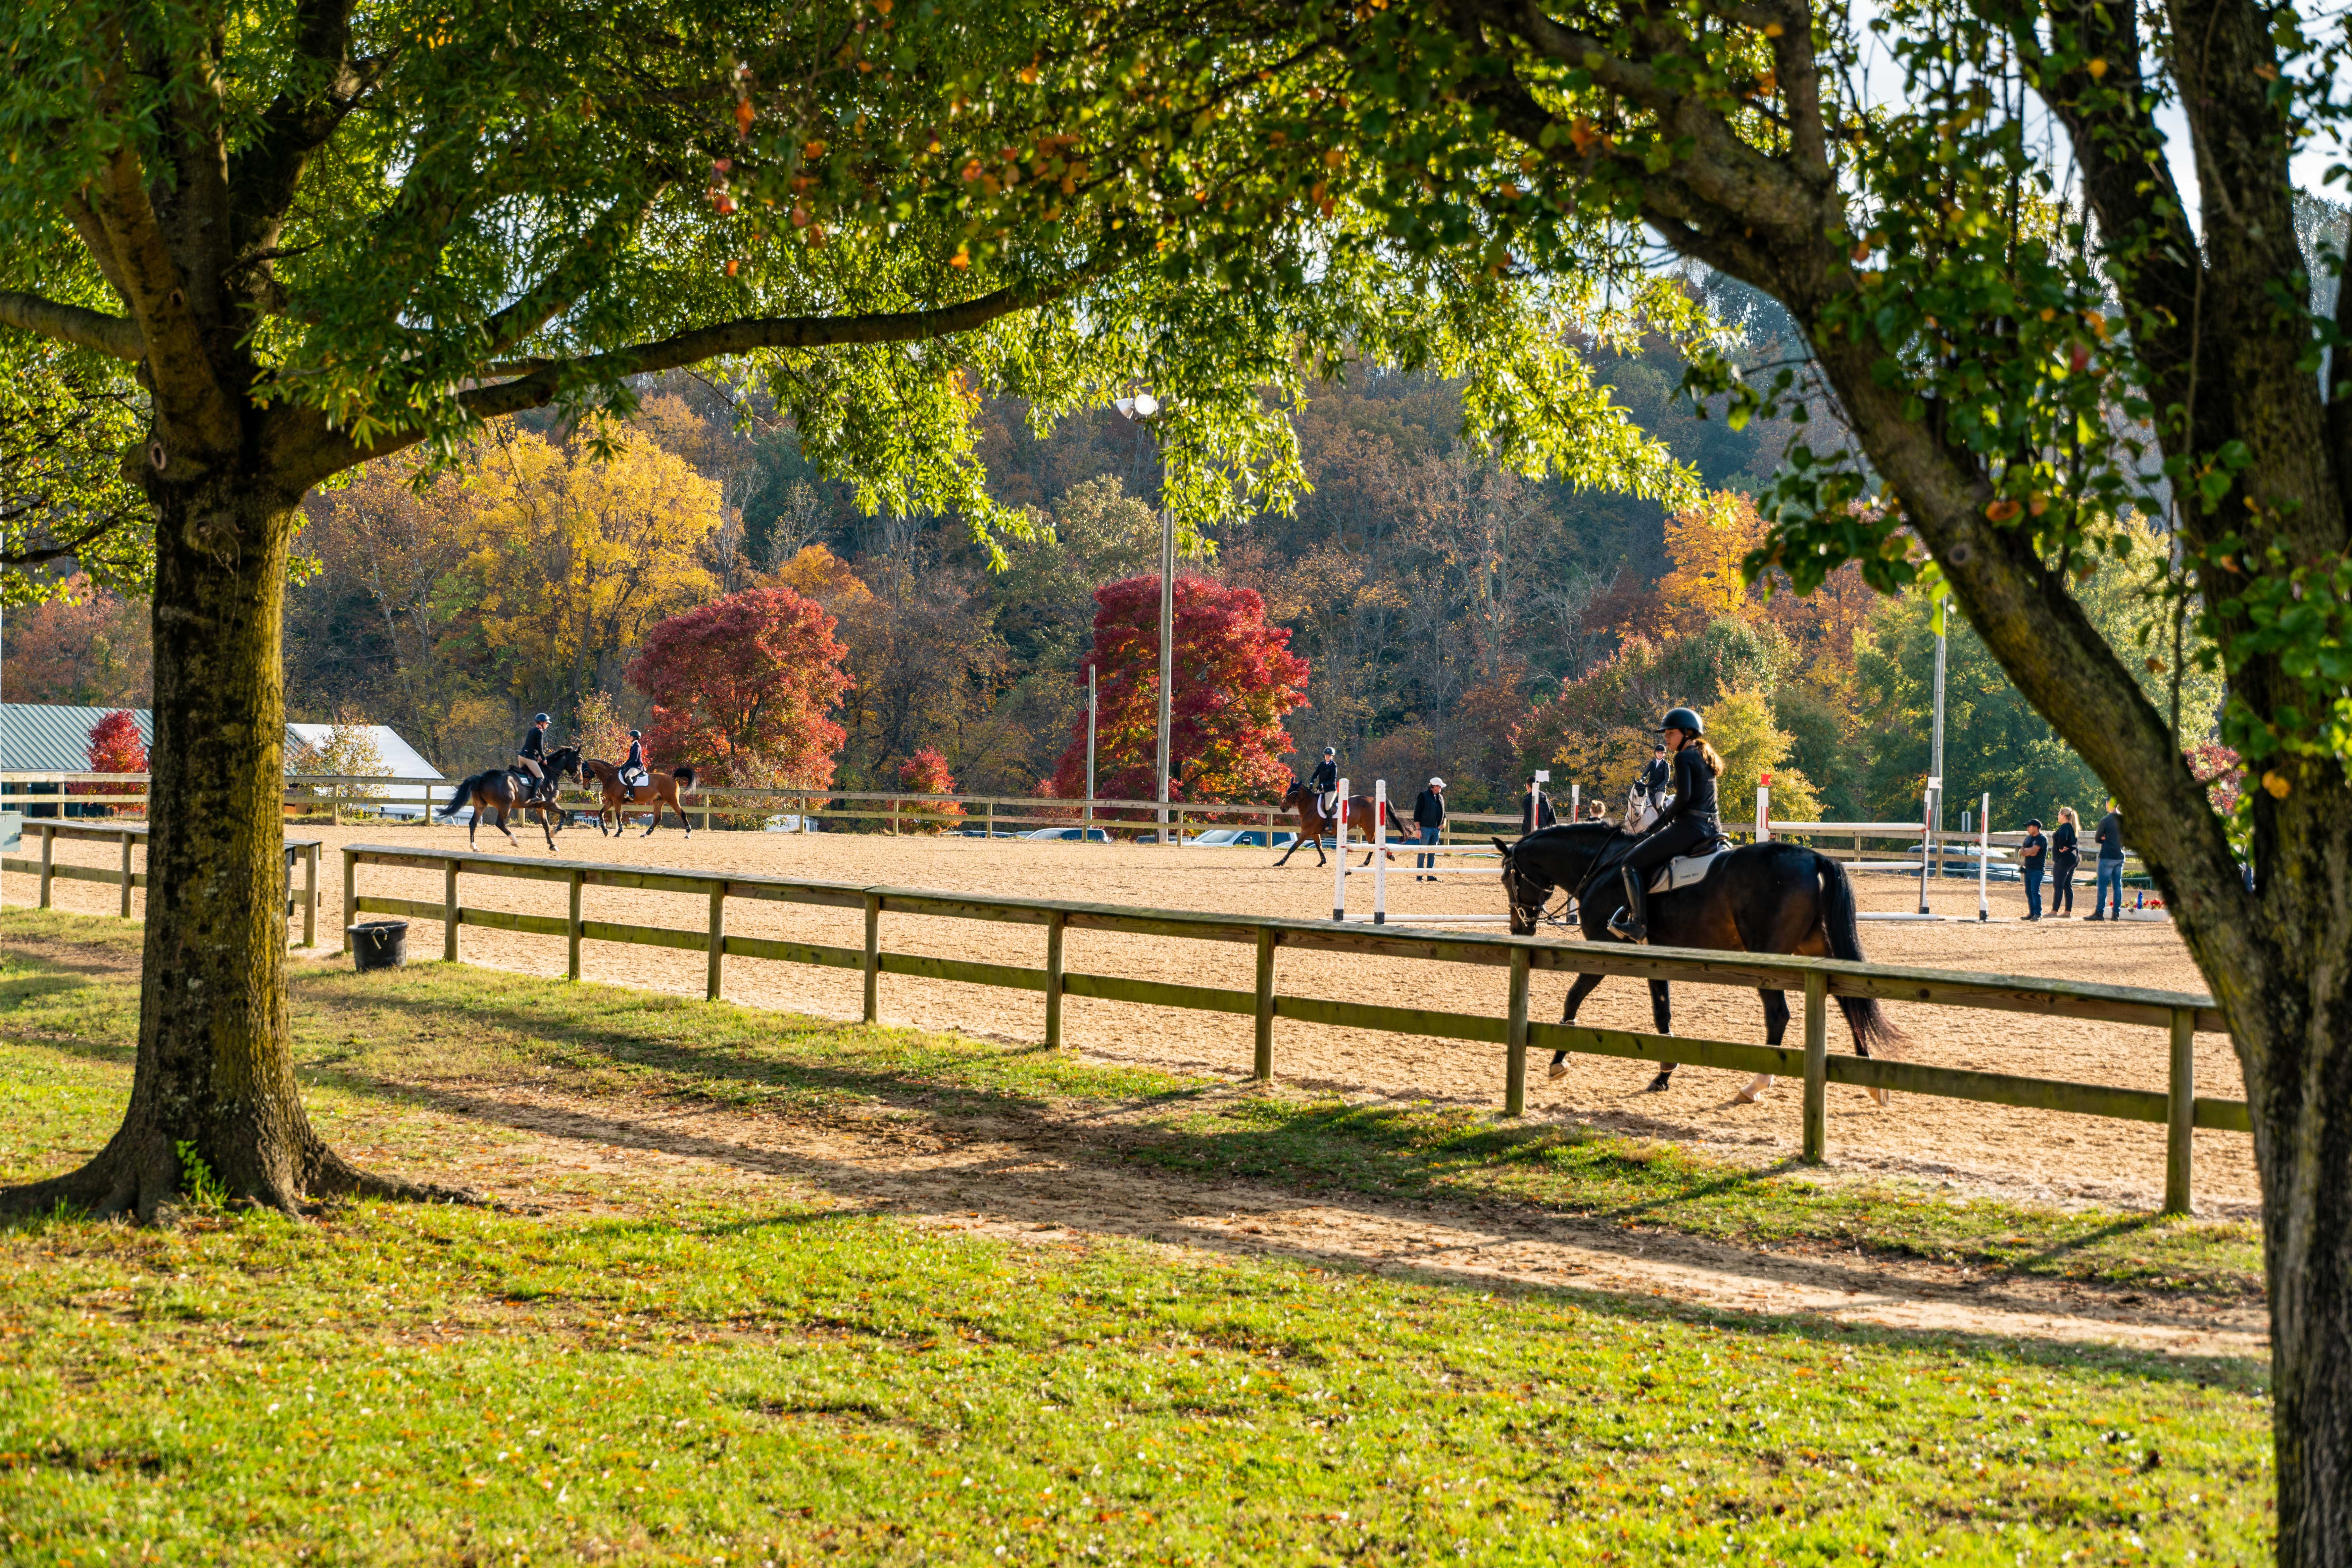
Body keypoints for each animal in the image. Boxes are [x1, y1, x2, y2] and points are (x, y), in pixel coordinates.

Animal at [442, 747, 588, 846]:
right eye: (579, 761)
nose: (579, 780)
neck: (549, 774)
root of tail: (481, 777)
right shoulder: (549, 804)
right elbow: (564, 813)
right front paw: (556, 831)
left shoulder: (540, 807)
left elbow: (546, 825)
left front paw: (552, 845)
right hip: (505, 805)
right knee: (500, 824)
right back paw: (515, 841)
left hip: (481, 805)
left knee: (473, 823)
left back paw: (474, 846)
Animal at [578, 757, 696, 841]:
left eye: (586, 772)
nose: (586, 787)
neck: (611, 777)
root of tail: (673, 778)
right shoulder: (611, 801)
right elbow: (601, 812)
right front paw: (605, 830)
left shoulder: (616, 801)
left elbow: (619, 816)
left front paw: (618, 833)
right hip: (658, 801)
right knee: (657, 818)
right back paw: (646, 834)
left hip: (672, 800)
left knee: (682, 814)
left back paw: (688, 834)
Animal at [1270, 780, 1411, 870]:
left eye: (1292, 794)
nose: (1283, 808)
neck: (1310, 806)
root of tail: (1375, 799)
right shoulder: (1314, 833)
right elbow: (1319, 847)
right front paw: (1322, 862)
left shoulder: (1306, 832)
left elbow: (1293, 848)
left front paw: (1280, 862)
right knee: (1374, 844)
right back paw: (1387, 857)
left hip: (1369, 827)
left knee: (1373, 844)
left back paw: (1366, 863)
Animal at [1496, 823, 1900, 1105]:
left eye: (1506, 878)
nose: (1520, 928)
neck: (1602, 867)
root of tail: (1814, 858)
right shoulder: (1653, 959)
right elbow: (1662, 1013)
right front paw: (1664, 1073)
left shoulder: (1602, 951)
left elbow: (1572, 999)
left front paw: (1558, 1061)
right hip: (1817, 946)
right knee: (1849, 1000)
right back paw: (1869, 1079)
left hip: (1769, 957)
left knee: (1779, 1015)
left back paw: (1755, 1085)